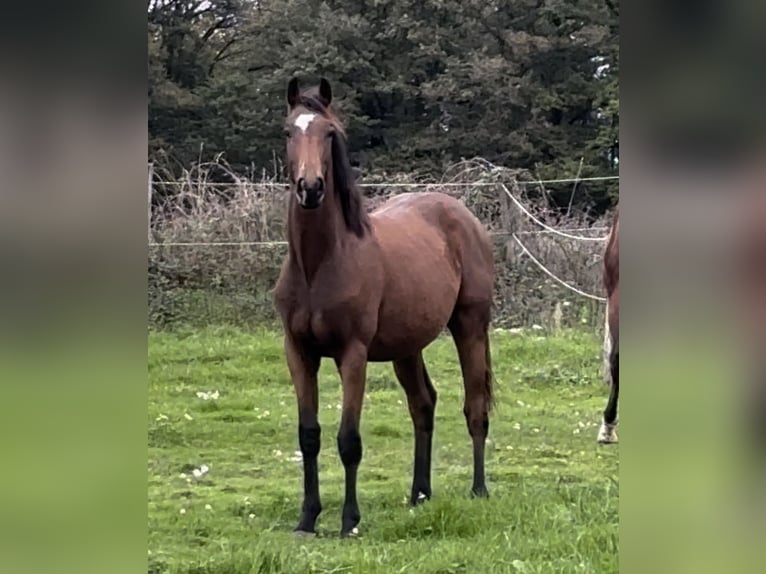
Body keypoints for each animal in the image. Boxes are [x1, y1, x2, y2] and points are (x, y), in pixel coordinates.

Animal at [276, 77, 498, 540]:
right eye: (289, 131)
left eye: (329, 133)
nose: (311, 188)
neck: (319, 264)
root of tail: (462, 215)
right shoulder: (298, 353)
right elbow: (309, 435)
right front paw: (307, 518)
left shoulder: (353, 354)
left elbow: (349, 440)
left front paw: (349, 521)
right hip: (406, 348)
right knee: (423, 405)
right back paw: (420, 494)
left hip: (470, 326)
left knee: (475, 407)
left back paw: (478, 489)